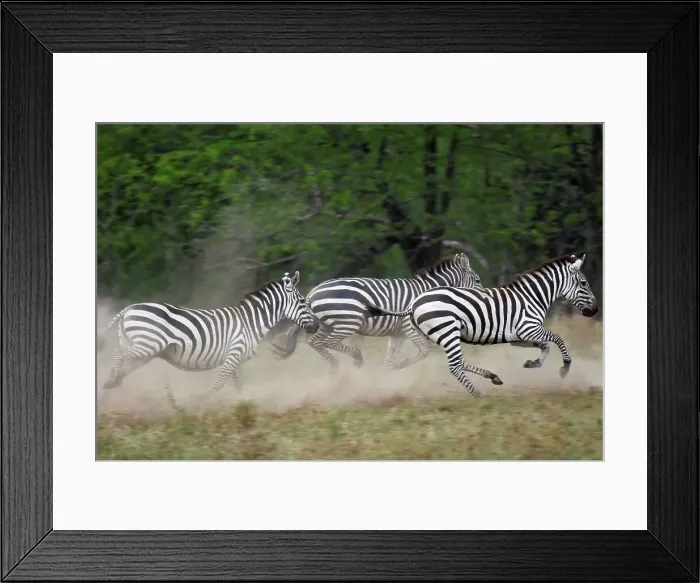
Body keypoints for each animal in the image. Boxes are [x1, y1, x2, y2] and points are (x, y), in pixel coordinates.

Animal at [97, 271, 319, 405]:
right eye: (302, 301)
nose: (317, 326)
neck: (250, 322)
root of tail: (128, 309)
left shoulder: (236, 358)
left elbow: (239, 385)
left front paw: (244, 407)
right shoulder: (233, 353)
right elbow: (219, 383)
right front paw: (201, 402)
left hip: (143, 350)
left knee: (121, 364)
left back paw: (109, 389)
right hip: (148, 344)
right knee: (118, 353)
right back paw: (111, 383)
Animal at [268, 253, 484, 372]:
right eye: (478, 280)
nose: (483, 298)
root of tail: (312, 293)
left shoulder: (398, 334)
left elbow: (390, 358)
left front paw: (381, 379)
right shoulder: (408, 327)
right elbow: (424, 351)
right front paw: (399, 366)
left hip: (327, 324)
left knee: (315, 342)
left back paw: (336, 366)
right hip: (348, 322)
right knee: (327, 342)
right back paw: (355, 358)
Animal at [365, 254, 598, 396]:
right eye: (584, 283)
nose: (594, 310)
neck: (533, 297)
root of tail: (414, 303)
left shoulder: (519, 337)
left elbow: (545, 346)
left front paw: (532, 363)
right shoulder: (528, 328)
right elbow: (557, 339)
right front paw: (565, 368)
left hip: (435, 335)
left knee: (453, 362)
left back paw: (491, 377)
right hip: (447, 331)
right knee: (455, 366)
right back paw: (478, 393)